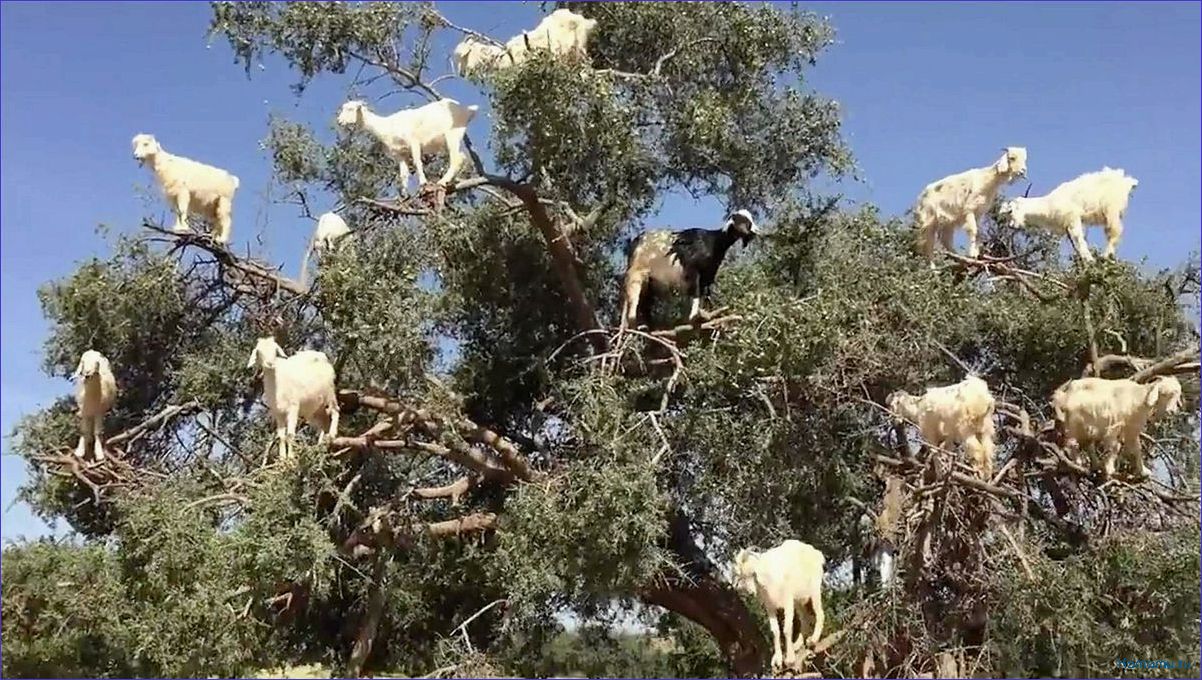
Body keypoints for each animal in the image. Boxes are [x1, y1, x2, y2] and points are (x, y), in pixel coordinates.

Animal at [335, 98, 478, 195]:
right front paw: (403, 196)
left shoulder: (413, 142)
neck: (387, 125)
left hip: (452, 134)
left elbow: (417, 162)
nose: (339, 121)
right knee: (462, 157)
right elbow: (403, 174)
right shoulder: (400, 154)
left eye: (351, 109)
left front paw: (423, 183)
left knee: (456, 159)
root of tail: (467, 110)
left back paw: (442, 182)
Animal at [619, 209, 757, 330]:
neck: (714, 241)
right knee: (633, 305)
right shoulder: (692, 270)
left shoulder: (707, 276)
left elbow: (706, 295)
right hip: (636, 275)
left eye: (751, 219)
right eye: (743, 220)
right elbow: (696, 293)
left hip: (649, 282)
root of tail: (635, 242)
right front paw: (694, 318)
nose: (756, 231)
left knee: (644, 304)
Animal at [732, 539, 826, 672]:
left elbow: (787, 628)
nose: (750, 593)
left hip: (814, 589)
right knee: (804, 618)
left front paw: (790, 660)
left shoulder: (787, 600)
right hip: (798, 600)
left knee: (820, 613)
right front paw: (777, 660)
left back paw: (813, 640)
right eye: (741, 576)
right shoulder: (770, 606)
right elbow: (775, 631)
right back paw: (797, 644)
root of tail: (816, 553)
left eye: (753, 574)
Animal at [999, 167, 1139, 263]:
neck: (1048, 205)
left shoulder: (1073, 217)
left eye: (1011, 211)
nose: (1011, 225)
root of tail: (1127, 181)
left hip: (1112, 209)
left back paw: (1105, 257)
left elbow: (1079, 238)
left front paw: (1089, 259)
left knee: (1114, 233)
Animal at [1052, 375, 1182, 478]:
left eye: (1177, 394)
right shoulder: (1114, 426)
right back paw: (1078, 463)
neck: (1138, 398)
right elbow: (1114, 447)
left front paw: (1144, 471)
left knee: (1088, 445)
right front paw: (1110, 469)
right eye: (1164, 394)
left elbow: (1137, 449)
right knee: (1071, 444)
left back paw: (1096, 465)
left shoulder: (1131, 429)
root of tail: (1063, 396)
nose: (1171, 411)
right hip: (1074, 424)